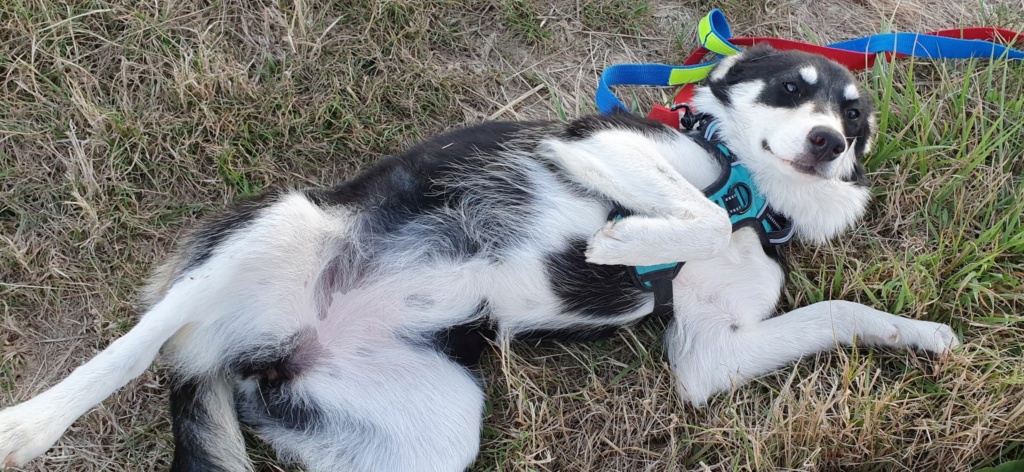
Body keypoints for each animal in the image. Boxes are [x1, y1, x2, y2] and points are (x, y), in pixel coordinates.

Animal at [0, 45, 958, 470]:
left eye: (855, 117)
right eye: (794, 87)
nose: (830, 141)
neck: (757, 194)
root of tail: (252, 355)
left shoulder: (707, 358)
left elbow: (835, 313)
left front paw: (917, 334)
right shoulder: (596, 148)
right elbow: (694, 217)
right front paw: (626, 240)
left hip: (436, 430)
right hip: (279, 227)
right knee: (137, 348)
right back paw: (28, 426)